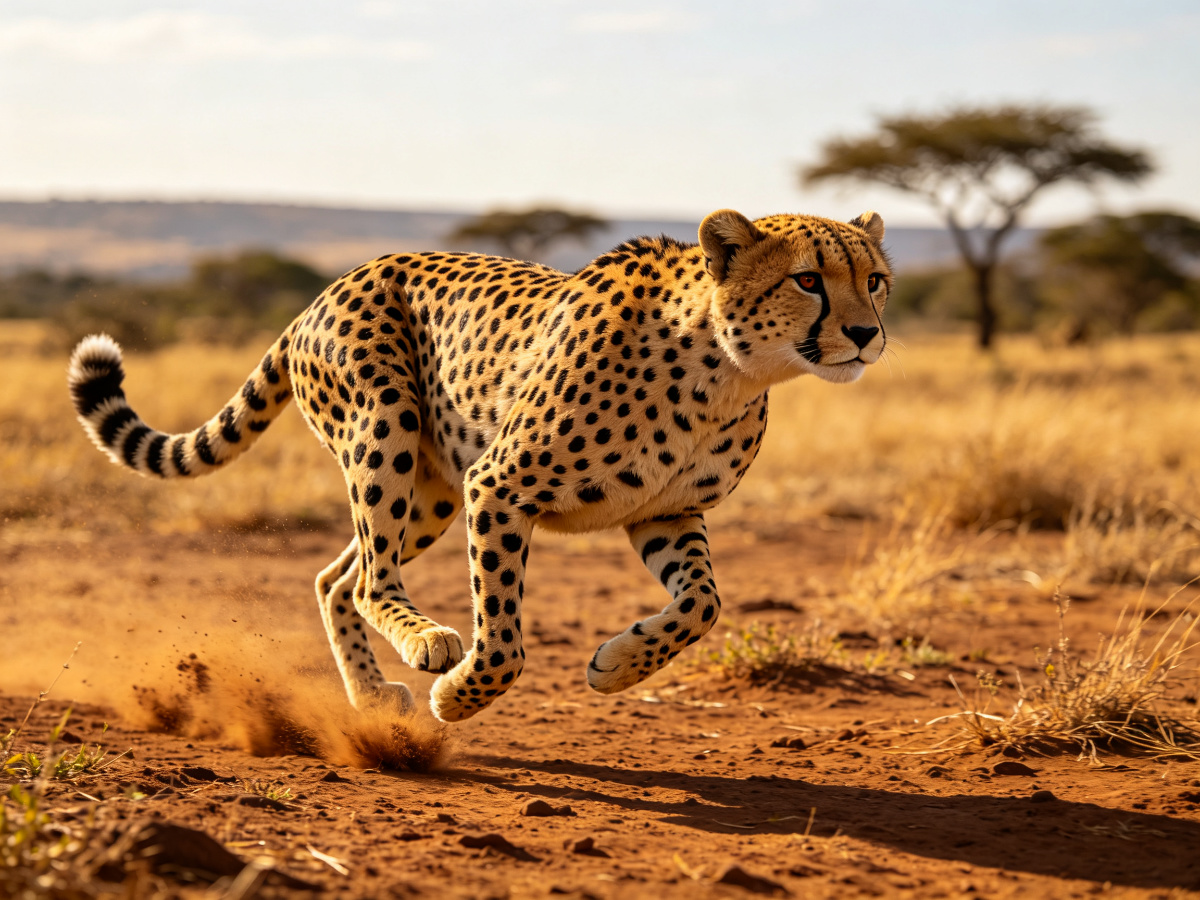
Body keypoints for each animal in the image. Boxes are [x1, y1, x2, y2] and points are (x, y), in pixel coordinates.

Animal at [67, 207, 892, 723]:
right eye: (808, 279)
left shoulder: (665, 510)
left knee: (336, 577)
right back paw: (425, 645)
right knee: (367, 576)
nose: (866, 334)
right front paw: (459, 697)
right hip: (387, 429)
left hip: (431, 488)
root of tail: (330, 285)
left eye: (874, 279)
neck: (729, 371)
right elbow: (502, 638)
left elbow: (703, 604)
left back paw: (372, 699)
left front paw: (620, 662)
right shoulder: (499, 485)